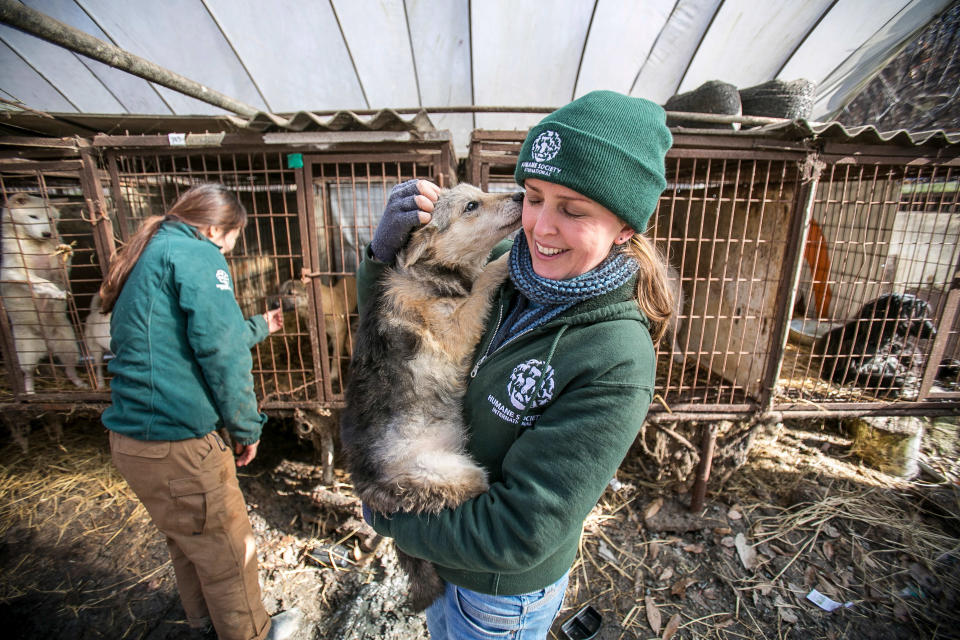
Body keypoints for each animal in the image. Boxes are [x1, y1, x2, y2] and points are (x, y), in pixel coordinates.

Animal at [0, 192, 87, 392]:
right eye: (33, 216)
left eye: (50, 219)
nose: (47, 233)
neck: (36, 245)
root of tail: (47, 343)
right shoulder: (14, 271)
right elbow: (41, 282)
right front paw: (56, 293)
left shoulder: (57, 272)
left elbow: (58, 271)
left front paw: (65, 252)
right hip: (25, 350)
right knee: (28, 373)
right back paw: (29, 391)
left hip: (68, 345)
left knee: (69, 369)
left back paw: (81, 384)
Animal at [342, 184, 524, 608]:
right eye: (472, 205)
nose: (522, 195)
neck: (431, 273)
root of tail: (370, 490)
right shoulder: (454, 331)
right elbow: (485, 279)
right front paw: (508, 260)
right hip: (454, 473)